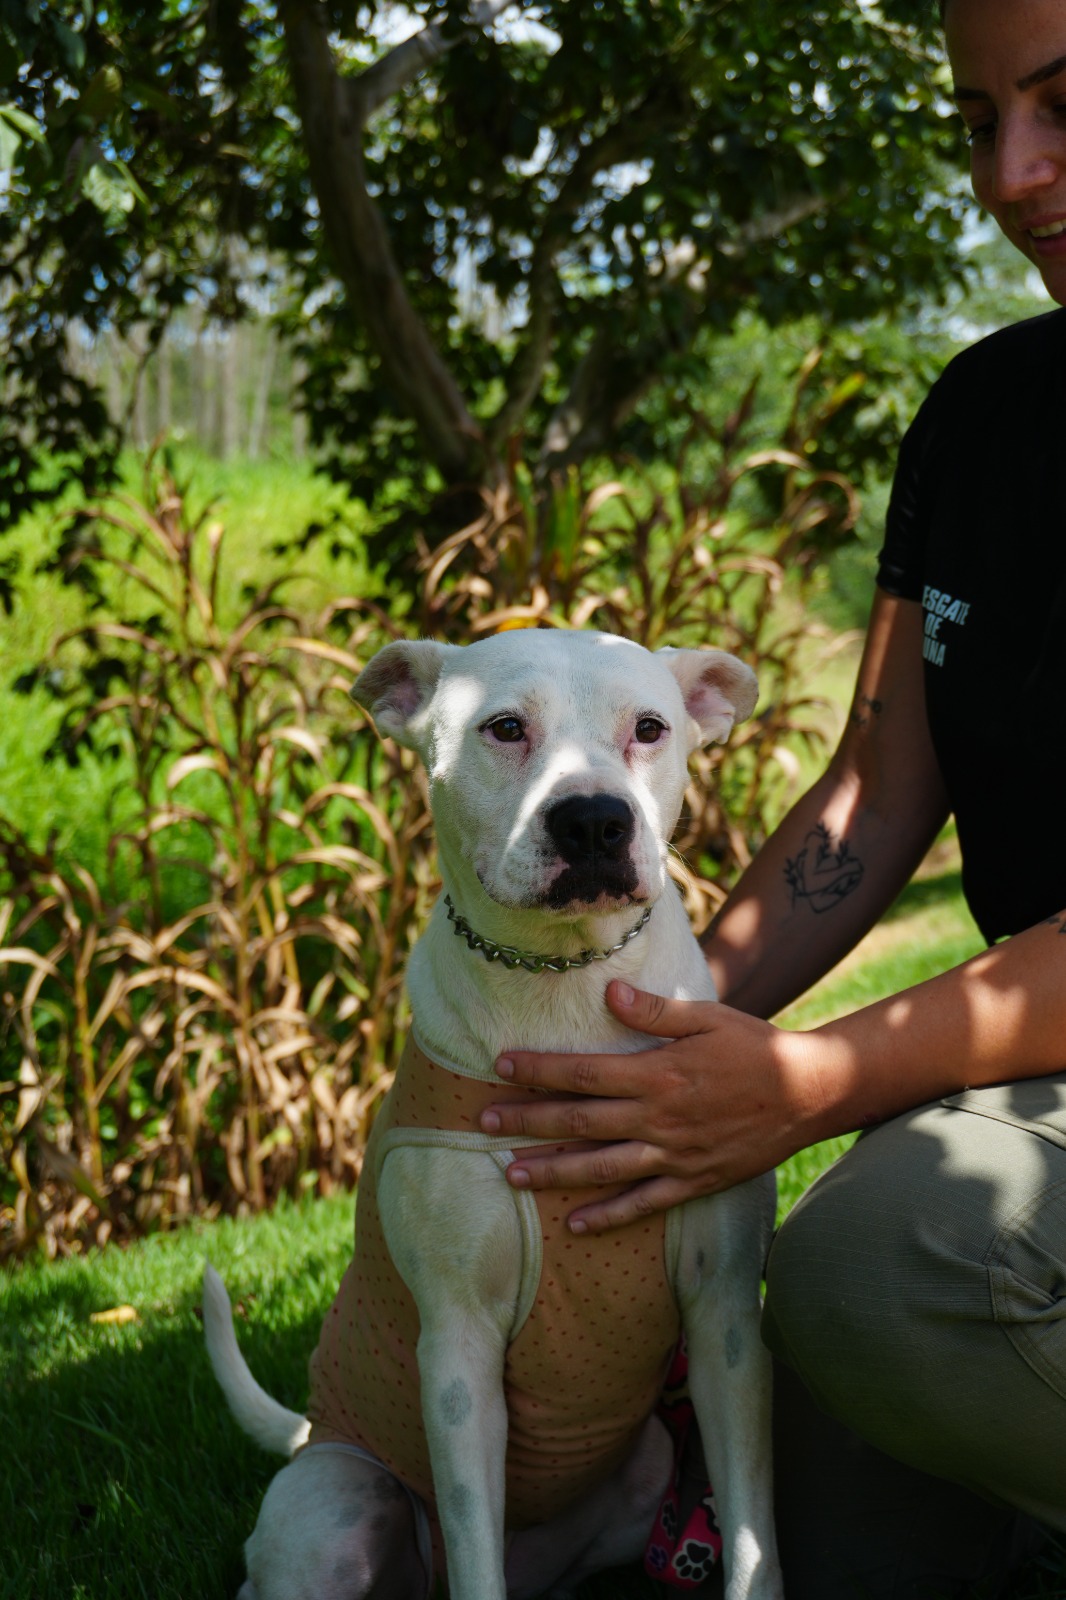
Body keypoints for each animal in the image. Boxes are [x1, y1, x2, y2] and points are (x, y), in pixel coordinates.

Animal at [203, 627, 782, 1600]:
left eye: (650, 727)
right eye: (505, 727)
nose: (593, 822)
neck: (562, 983)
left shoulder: (727, 1321)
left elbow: (750, 1533)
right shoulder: (458, 1355)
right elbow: (475, 1549)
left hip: (646, 1471)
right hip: (333, 1506)